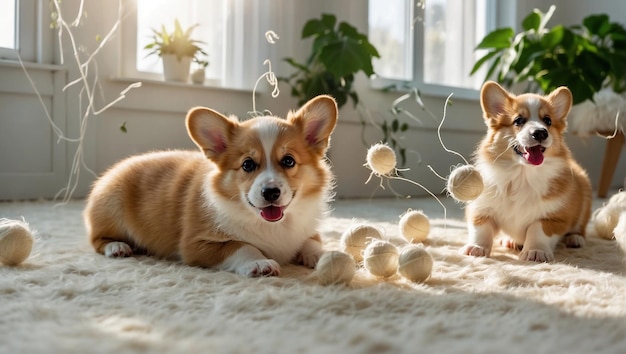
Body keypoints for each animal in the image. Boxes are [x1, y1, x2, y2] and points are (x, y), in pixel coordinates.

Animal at [84, 94, 336, 276]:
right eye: (247, 164)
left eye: (288, 161)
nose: (270, 192)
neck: (273, 225)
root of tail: (113, 170)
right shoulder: (197, 244)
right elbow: (242, 246)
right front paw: (260, 262)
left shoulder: (306, 230)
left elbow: (311, 241)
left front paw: (324, 255)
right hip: (111, 208)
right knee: (96, 239)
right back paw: (117, 247)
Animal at [464, 81, 588, 262]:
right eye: (518, 120)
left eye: (548, 121)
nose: (540, 133)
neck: (522, 175)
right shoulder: (481, 209)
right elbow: (481, 230)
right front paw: (477, 248)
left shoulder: (555, 218)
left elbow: (537, 229)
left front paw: (536, 251)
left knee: (580, 228)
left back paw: (575, 238)